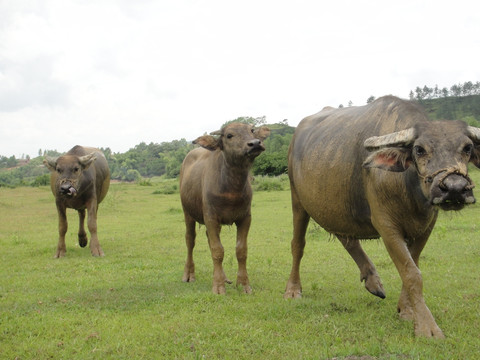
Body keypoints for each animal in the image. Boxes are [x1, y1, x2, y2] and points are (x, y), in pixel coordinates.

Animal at [180, 122, 270, 294]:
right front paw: (218, 286)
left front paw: (243, 284)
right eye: (229, 135)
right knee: (190, 240)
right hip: (187, 213)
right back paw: (188, 275)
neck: (231, 188)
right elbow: (217, 250)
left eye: (251, 131)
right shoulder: (210, 217)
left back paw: (224, 277)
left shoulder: (245, 218)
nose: (255, 143)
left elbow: (241, 250)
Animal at [284, 95, 480, 338]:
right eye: (419, 149)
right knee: (298, 244)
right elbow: (412, 273)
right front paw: (428, 327)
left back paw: (372, 280)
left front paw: (407, 310)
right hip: (297, 200)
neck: (409, 189)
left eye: (467, 148)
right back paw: (293, 289)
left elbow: (413, 265)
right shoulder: (386, 226)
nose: (454, 188)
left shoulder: (427, 225)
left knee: (346, 237)